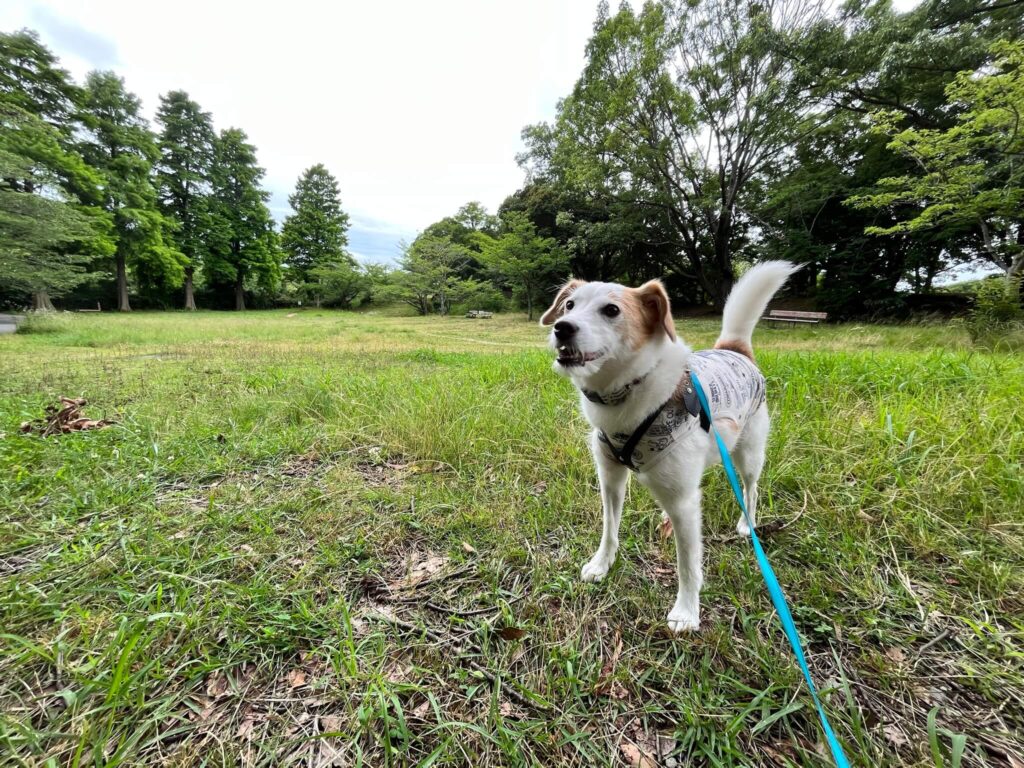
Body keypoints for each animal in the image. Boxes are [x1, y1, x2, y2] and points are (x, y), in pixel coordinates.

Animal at [540, 262, 794, 634]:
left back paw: (747, 524)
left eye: (612, 310)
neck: (628, 390)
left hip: (748, 452)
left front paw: (686, 611)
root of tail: (734, 348)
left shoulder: (684, 502)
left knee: (751, 488)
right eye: (569, 306)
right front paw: (602, 565)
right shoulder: (611, 479)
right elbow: (609, 529)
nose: (562, 327)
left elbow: (688, 563)